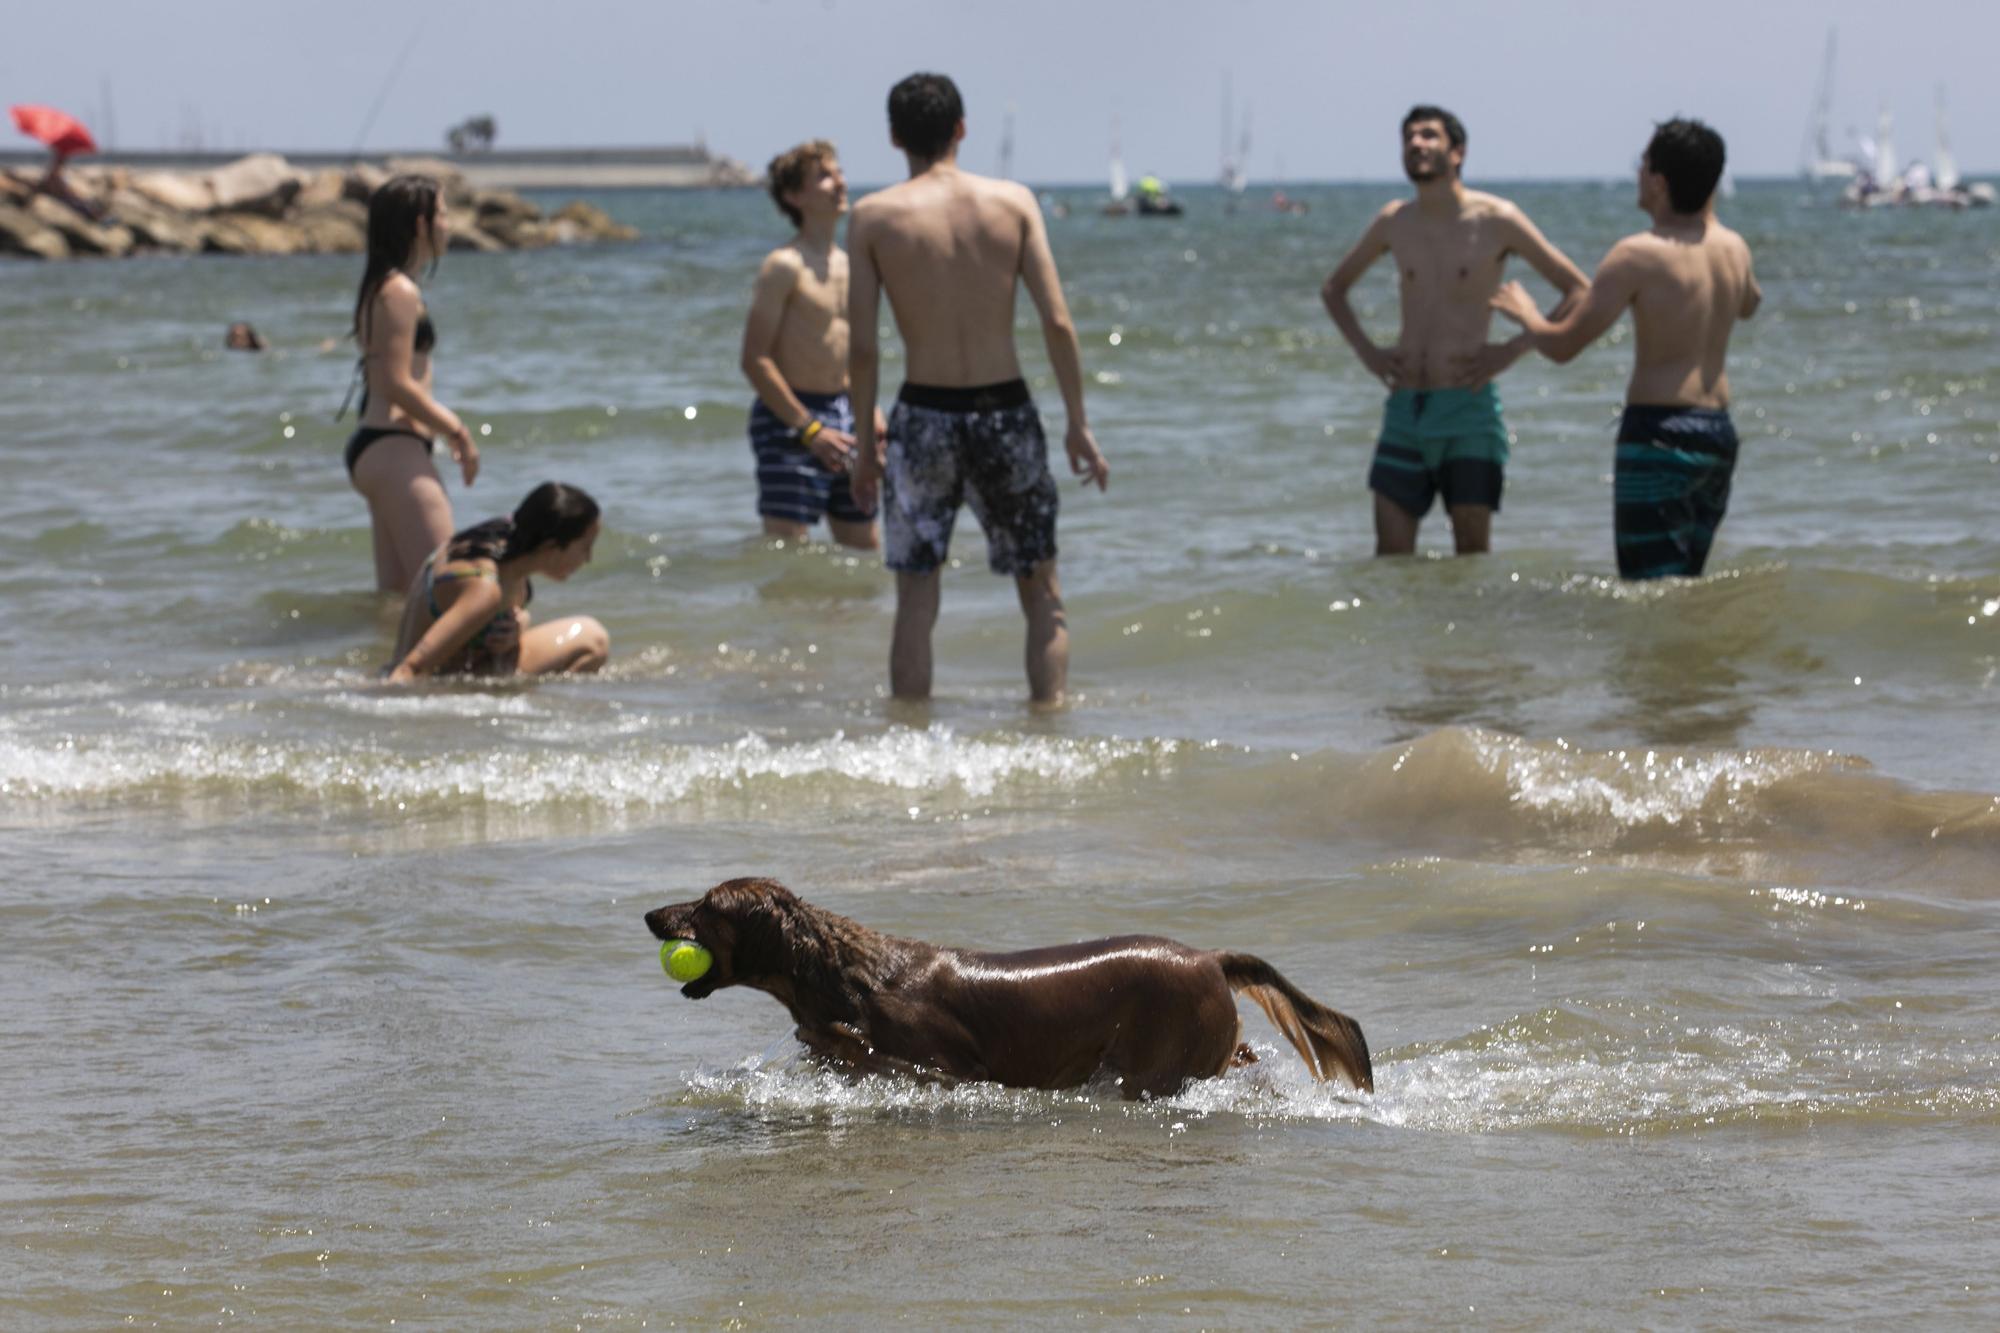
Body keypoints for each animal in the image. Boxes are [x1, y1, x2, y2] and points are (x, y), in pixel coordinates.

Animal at [648, 876, 1368, 1096]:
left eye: (708, 906)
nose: (651, 915)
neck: (851, 973)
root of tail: (1211, 958)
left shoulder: (946, 1067)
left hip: (1155, 1068)